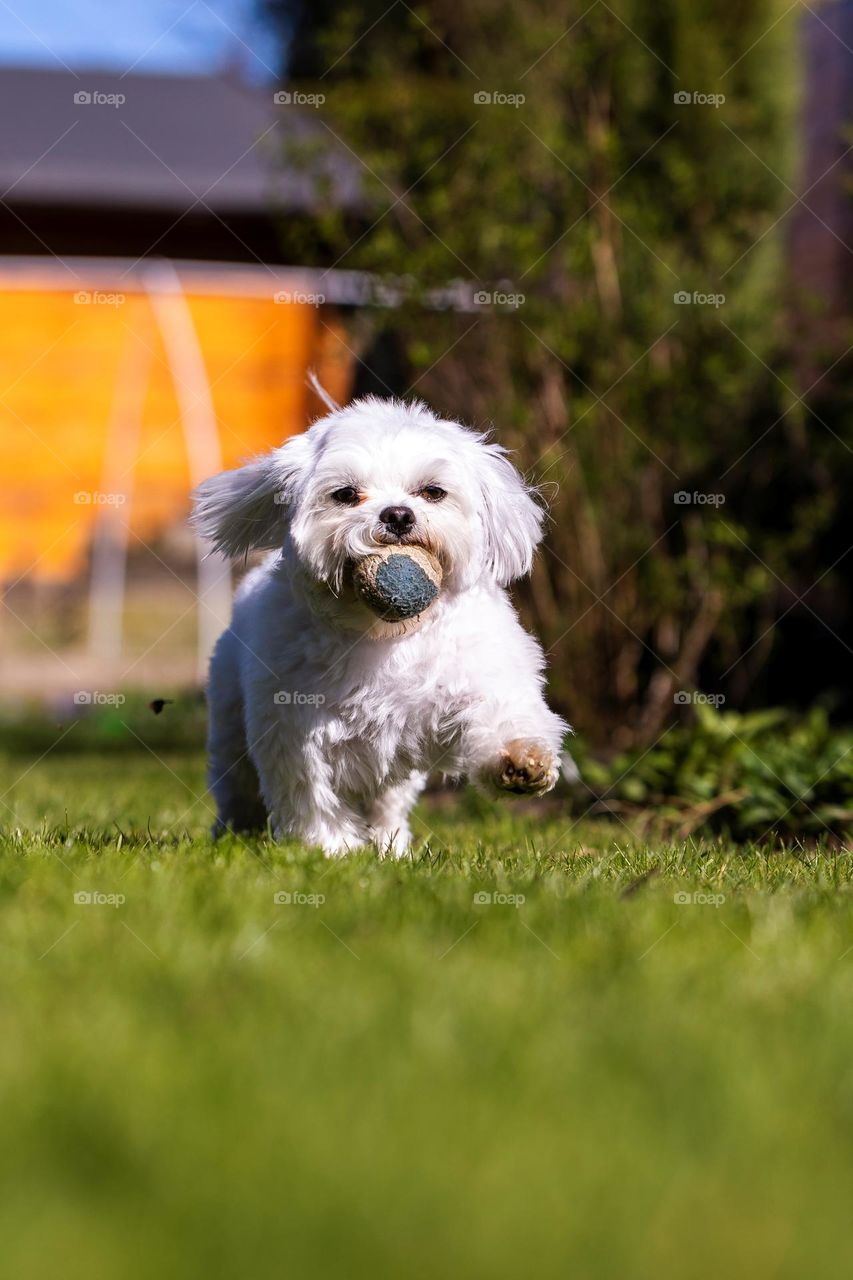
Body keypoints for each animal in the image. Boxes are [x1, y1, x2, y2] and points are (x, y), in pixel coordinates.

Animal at [192, 396, 563, 860]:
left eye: (432, 492)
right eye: (346, 494)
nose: (398, 514)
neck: (387, 633)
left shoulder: (476, 674)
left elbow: (502, 712)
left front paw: (521, 760)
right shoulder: (294, 728)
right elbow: (311, 794)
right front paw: (331, 850)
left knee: (387, 804)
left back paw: (391, 846)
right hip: (230, 729)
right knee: (237, 788)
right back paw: (233, 833)